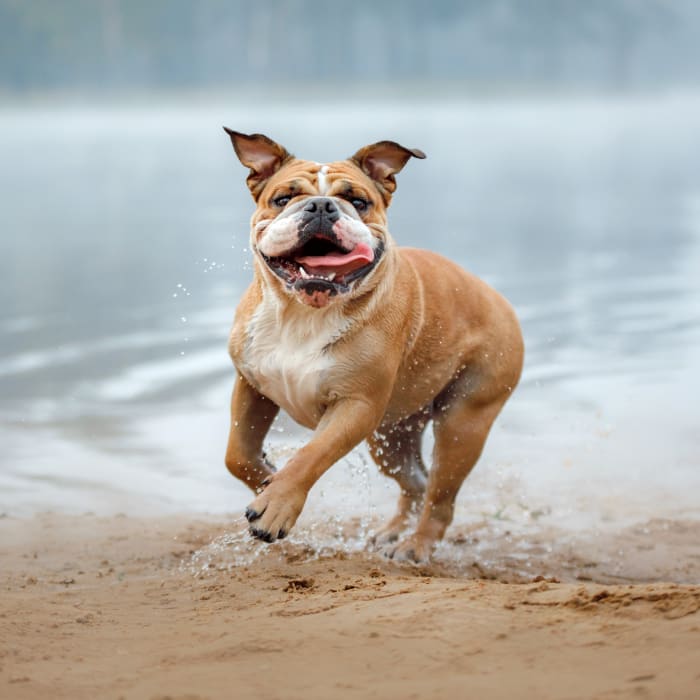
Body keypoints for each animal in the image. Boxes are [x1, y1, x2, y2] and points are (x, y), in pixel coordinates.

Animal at [221, 130, 524, 564]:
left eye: (359, 202)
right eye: (283, 199)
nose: (321, 205)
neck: (302, 313)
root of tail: (497, 298)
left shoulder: (355, 405)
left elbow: (310, 456)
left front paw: (276, 504)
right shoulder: (252, 385)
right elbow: (237, 454)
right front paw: (266, 478)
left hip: (463, 424)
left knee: (441, 496)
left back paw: (415, 546)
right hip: (391, 435)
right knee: (416, 482)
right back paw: (393, 532)